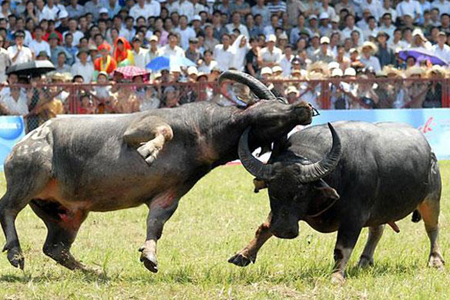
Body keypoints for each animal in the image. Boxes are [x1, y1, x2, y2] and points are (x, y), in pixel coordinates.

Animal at [0, 71, 314, 274]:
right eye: (273, 108)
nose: (305, 107)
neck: (203, 133)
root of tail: (26, 142)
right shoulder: (140, 128)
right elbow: (165, 130)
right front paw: (149, 151)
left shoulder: (170, 191)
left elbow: (156, 222)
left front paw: (149, 256)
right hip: (30, 176)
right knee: (7, 208)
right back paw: (15, 253)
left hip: (67, 213)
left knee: (55, 248)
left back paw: (93, 271)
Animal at [230, 120, 444, 282]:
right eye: (272, 192)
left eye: (301, 192)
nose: (283, 231)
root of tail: (430, 150)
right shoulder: (281, 213)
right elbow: (264, 228)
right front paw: (243, 255)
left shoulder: (354, 217)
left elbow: (341, 249)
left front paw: (336, 277)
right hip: (380, 210)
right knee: (377, 230)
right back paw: (364, 261)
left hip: (431, 198)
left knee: (432, 228)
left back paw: (436, 260)